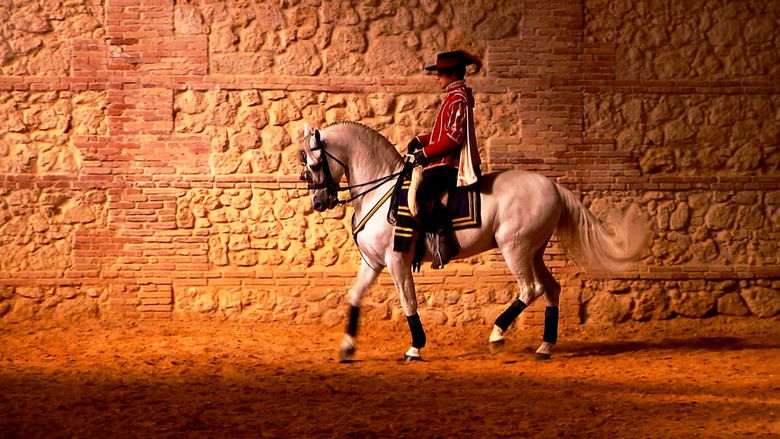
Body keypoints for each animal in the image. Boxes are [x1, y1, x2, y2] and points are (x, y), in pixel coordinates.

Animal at [299, 122, 648, 362]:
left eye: (313, 165)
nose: (318, 202)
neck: (381, 190)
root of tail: (552, 186)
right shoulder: (372, 262)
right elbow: (354, 295)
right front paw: (347, 347)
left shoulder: (397, 260)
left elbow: (408, 302)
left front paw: (415, 348)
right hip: (534, 251)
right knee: (551, 289)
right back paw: (545, 346)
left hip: (515, 248)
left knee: (530, 289)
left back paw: (497, 334)